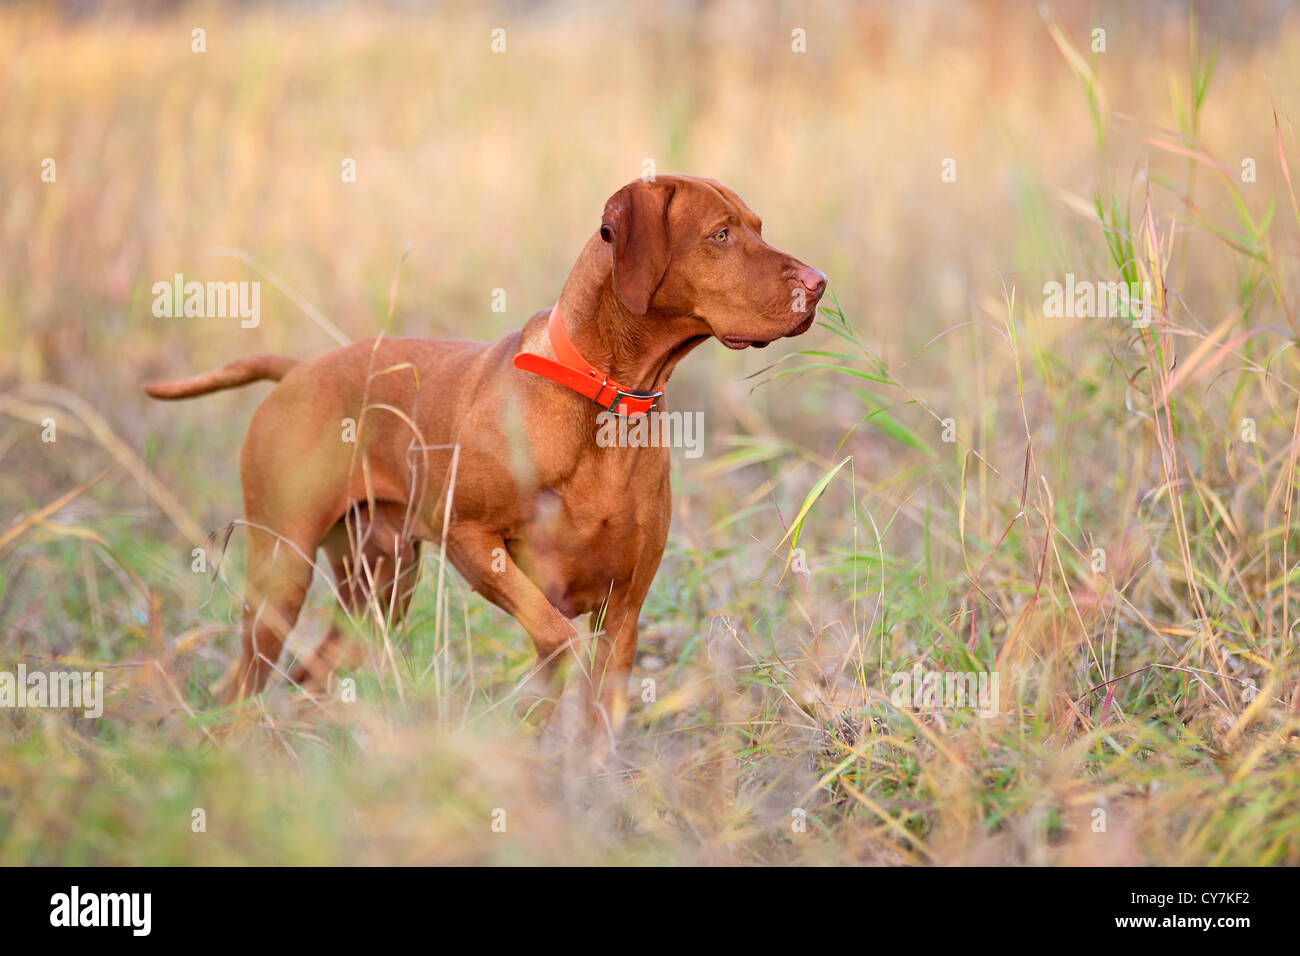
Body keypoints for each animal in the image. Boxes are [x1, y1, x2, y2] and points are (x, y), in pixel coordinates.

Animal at [147, 175, 826, 738]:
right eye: (721, 234)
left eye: (757, 227)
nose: (819, 284)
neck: (602, 401)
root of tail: (297, 369)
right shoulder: (473, 542)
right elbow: (557, 641)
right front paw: (530, 714)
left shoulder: (625, 610)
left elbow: (597, 714)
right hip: (282, 578)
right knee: (241, 685)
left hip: (380, 590)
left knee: (305, 677)